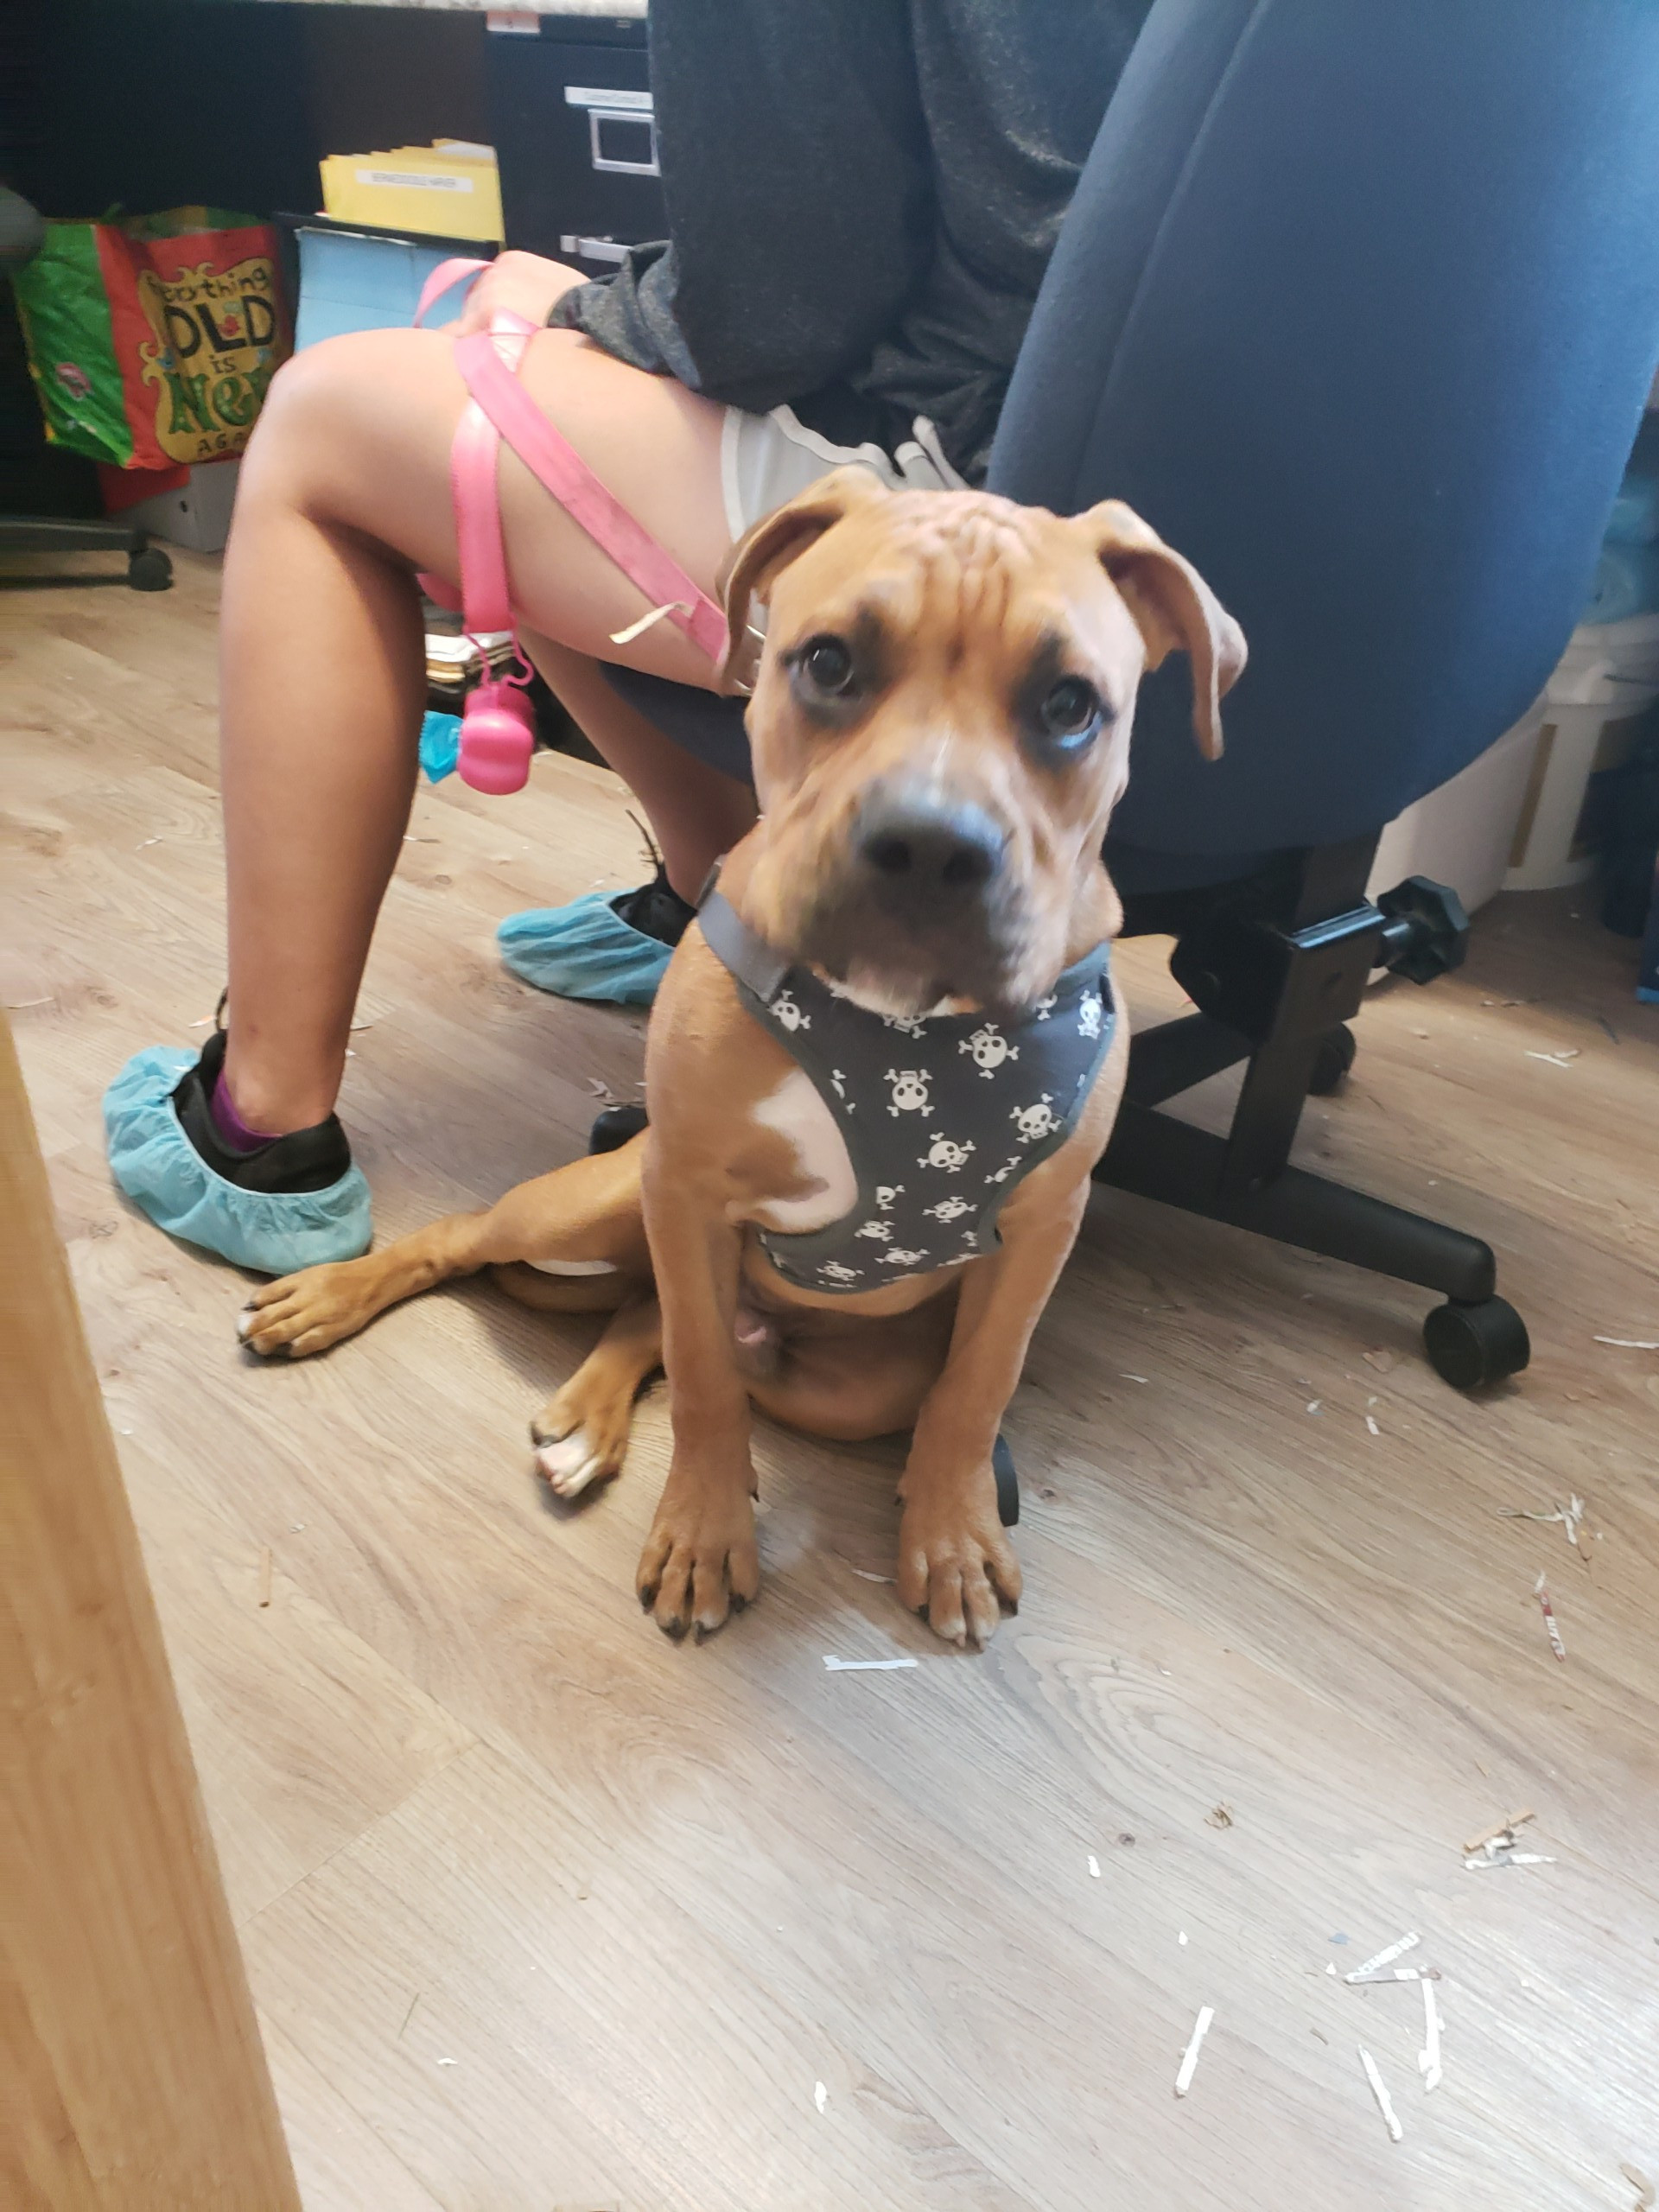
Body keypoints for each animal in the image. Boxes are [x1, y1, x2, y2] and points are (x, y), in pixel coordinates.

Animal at [238, 470, 1244, 1647]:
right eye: (828, 662)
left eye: (1071, 706)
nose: (930, 845)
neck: (902, 1032)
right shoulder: (684, 1184)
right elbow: (706, 1378)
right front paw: (705, 1531)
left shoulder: (1043, 1229)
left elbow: (975, 1389)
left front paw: (950, 1536)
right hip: (599, 1199)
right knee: (506, 1252)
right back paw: (337, 1297)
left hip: (844, 1379)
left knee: (661, 1320)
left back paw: (589, 1420)